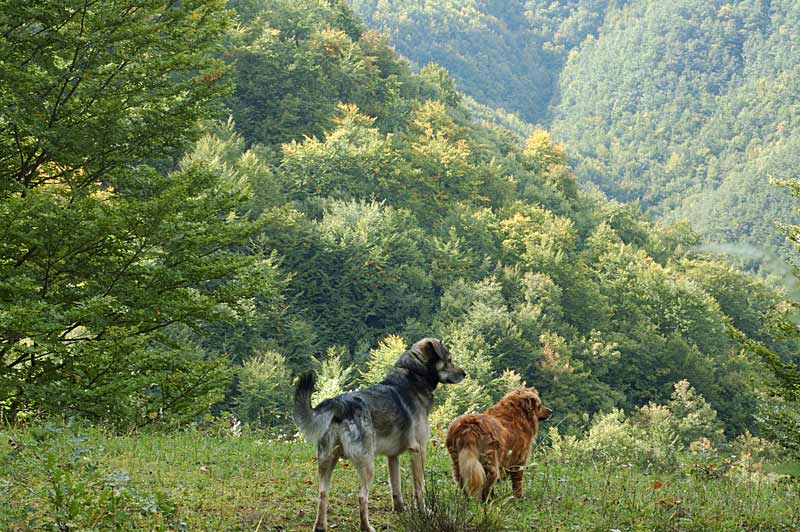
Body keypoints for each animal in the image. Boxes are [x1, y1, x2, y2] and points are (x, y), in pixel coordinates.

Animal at [296, 338, 468, 528]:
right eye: (450, 360)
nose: (465, 374)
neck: (413, 375)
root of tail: (340, 404)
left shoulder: (392, 457)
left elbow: (396, 487)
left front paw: (401, 510)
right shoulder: (418, 450)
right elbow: (420, 488)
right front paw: (423, 512)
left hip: (327, 461)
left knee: (322, 494)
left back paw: (320, 526)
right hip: (367, 463)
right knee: (361, 497)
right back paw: (367, 527)